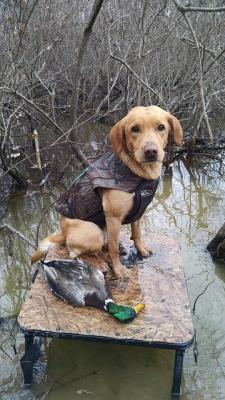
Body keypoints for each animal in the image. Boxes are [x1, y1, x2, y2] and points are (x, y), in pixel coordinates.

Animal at [31, 106, 183, 282]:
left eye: (161, 127)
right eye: (135, 129)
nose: (151, 151)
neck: (137, 174)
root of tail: (62, 232)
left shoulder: (139, 213)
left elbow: (136, 234)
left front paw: (141, 250)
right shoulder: (113, 217)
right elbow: (113, 249)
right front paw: (118, 269)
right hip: (94, 232)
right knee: (75, 252)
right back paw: (99, 262)